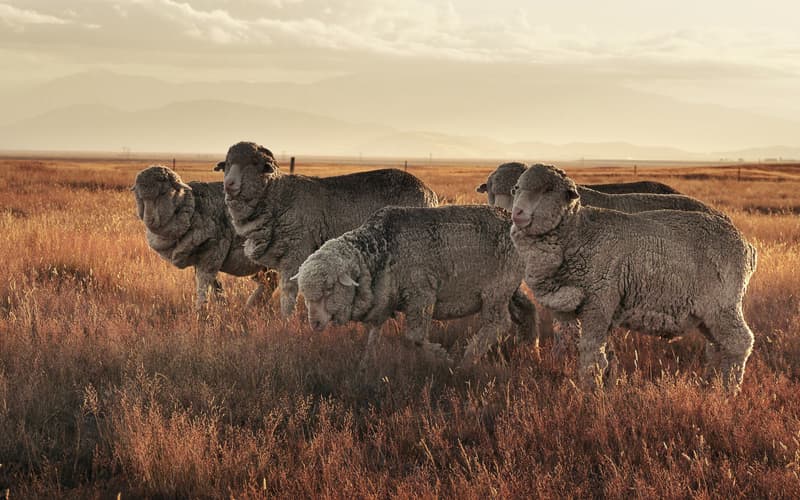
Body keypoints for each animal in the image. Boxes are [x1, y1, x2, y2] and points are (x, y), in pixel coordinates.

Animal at [132, 165, 277, 308]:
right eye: (139, 196)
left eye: (163, 193)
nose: (150, 220)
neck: (193, 208)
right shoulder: (200, 258)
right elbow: (214, 285)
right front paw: (222, 303)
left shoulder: (213, 252)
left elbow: (203, 284)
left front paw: (202, 310)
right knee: (270, 281)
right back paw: (252, 306)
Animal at [215, 141, 439, 316]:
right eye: (227, 164)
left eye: (254, 164)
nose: (229, 184)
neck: (279, 195)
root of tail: (430, 193)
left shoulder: (296, 252)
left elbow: (288, 292)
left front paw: (285, 321)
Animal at [293, 205, 539, 369]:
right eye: (305, 295)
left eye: (329, 289)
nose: (314, 324)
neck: (381, 248)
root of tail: (509, 217)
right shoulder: (384, 301)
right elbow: (373, 337)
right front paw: (363, 367)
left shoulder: (421, 294)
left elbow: (414, 338)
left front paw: (443, 358)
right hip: (510, 286)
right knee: (527, 309)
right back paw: (531, 348)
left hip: (497, 287)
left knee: (498, 322)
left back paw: (467, 360)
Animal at [509, 164, 757, 393]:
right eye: (517, 188)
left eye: (548, 189)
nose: (517, 213)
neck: (579, 233)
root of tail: (746, 245)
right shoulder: (587, 308)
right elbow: (599, 351)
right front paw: (606, 385)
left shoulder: (600, 301)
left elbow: (591, 352)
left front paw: (591, 392)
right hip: (707, 314)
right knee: (717, 346)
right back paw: (710, 385)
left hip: (723, 304)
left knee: (739, 343)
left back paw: (728, 390)